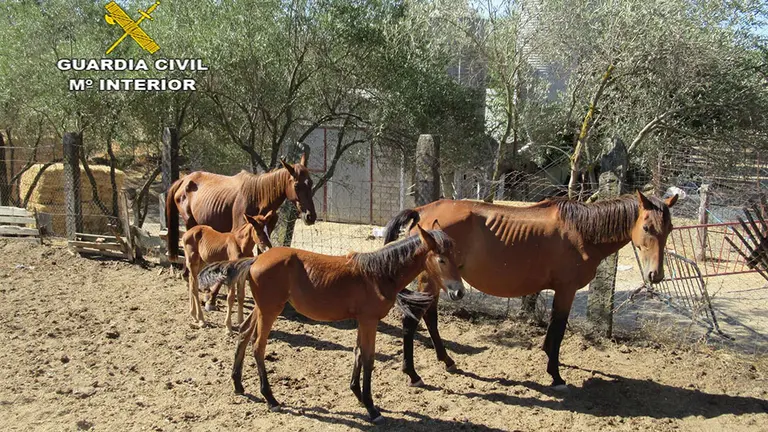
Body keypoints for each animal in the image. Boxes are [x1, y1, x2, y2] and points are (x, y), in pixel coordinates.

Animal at [166, 151, 317, 261]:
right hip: (189, 222)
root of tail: (184, 179)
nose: (310, 216)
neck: (258, 196)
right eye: (296, 185)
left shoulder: (263, 234)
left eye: (311, 183)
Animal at [196, 222, 465, 423]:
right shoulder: (369, 321)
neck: (378, 274)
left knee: (243, 334)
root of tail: (254, 261)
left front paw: (357, 394)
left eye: (456, 257)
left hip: (262, 309)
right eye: (441, 260)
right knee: (258, 346)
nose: (459, 292)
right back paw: (270, 398)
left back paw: (238, 385)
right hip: (270, 311)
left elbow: (358, 353)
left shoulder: (362, 321)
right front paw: (371, 407)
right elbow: (368, 359)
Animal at [383, 190, 678, 390]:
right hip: (429, 281)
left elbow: (553, 330)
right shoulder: (566, 289)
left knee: (430, 318)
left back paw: (446, 360)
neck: (580, 231)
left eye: (670, 228)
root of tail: (423, 211)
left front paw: (548, 357)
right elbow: (558, 330)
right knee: (412, 321)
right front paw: (556, 375)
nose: (656, 275)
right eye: (647, 227)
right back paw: (413, 374)